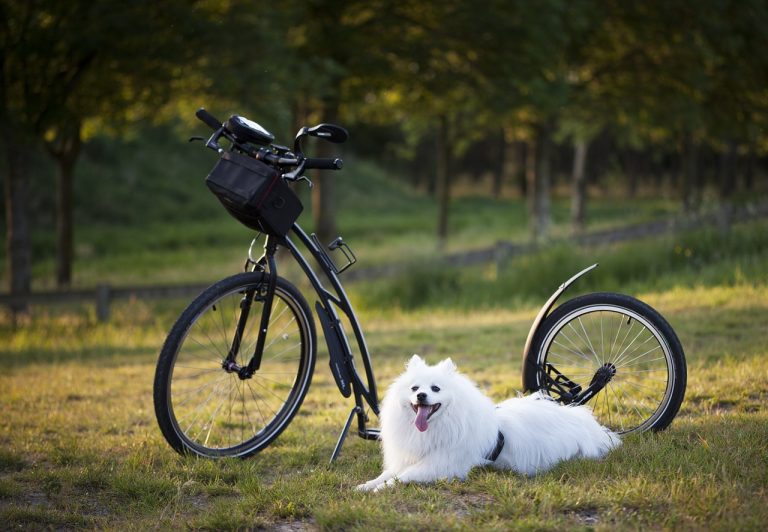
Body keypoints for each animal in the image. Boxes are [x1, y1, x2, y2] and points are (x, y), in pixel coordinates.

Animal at [358, 356, 616, 492]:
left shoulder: (441, 464)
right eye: (414, 388)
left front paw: (381, 489)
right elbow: (388, 473)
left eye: (435, 389)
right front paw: (366, 485)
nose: (421, 396)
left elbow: (402, 476)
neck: (438, 426)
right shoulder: (410, 457)